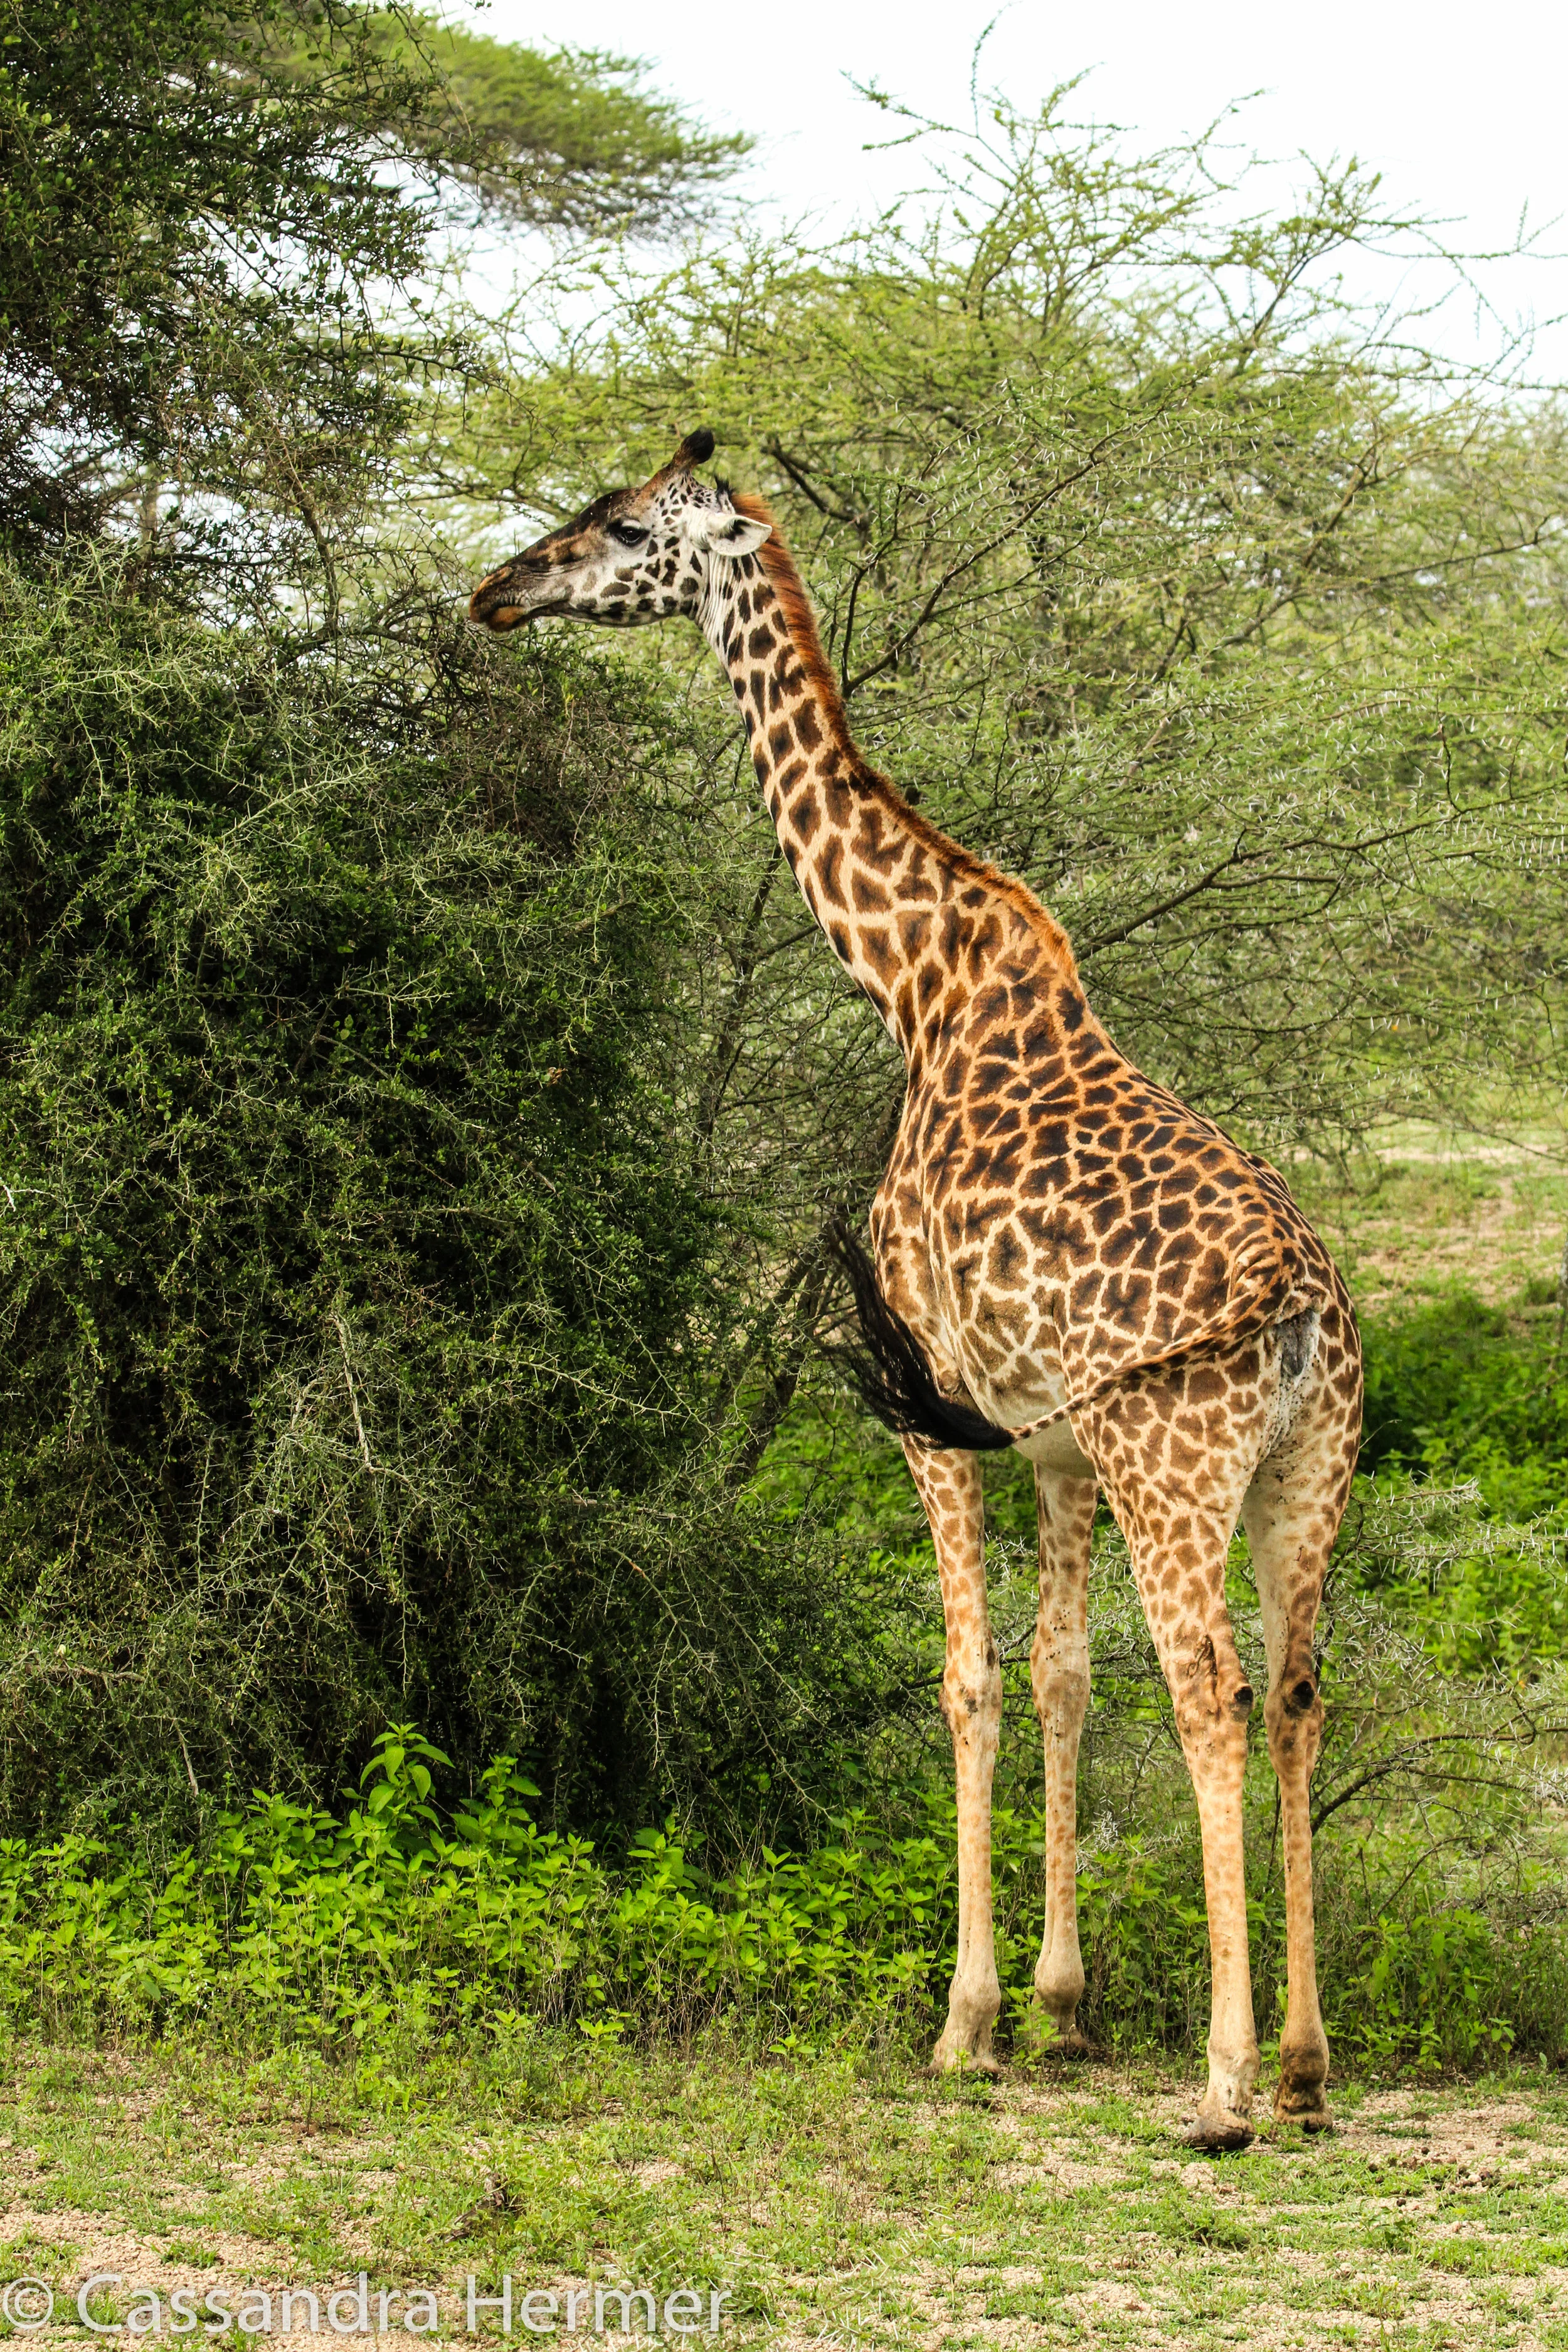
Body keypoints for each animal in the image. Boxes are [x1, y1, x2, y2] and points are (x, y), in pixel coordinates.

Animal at [470, 429, 1364, 2150]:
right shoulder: (1055, 1444)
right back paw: (1299, 2064)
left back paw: (1222, 2084)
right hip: (1306, 1469)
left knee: (1212, 1690)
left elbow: (964, 1681)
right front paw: (1066, 2008)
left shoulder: (937, 1421)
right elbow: (1060, 1678)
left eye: (613, 525)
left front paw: (968, 2023)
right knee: (1291, 1692)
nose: (499, 589)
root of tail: (1295, 1301)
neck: (912, 986)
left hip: (1177, 1465)